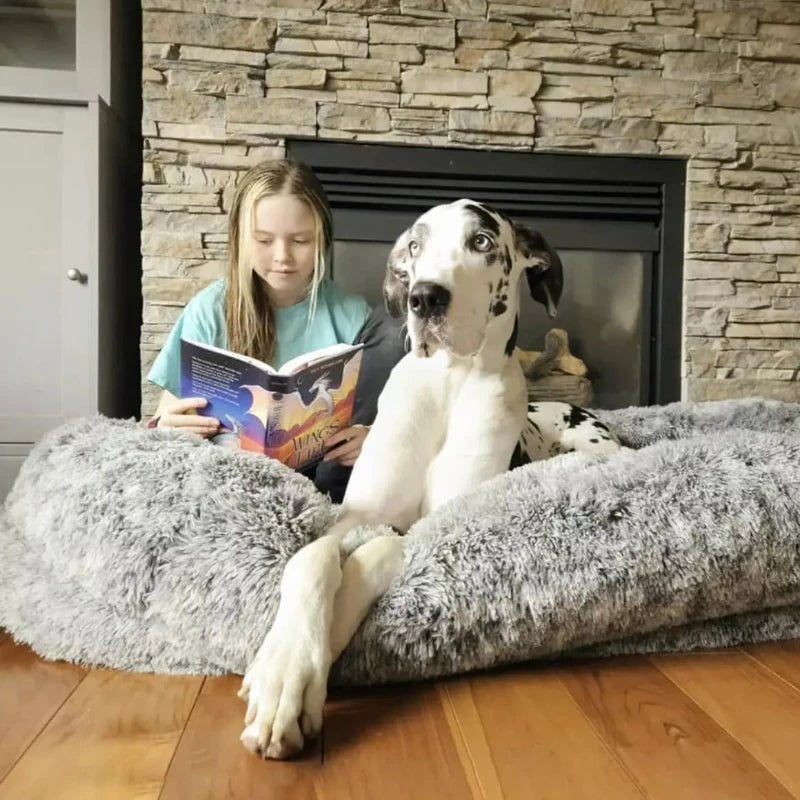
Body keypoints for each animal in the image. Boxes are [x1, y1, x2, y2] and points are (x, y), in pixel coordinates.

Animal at [236, 200, 620, 764]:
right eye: (415, 246)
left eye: (482, 242)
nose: (424, 297)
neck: (448, 382)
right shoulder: (355, 517)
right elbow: (310, 559)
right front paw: (282, 666)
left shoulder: (430, 530)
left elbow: (376, 555)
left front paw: (311, 665)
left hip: (597, 450)